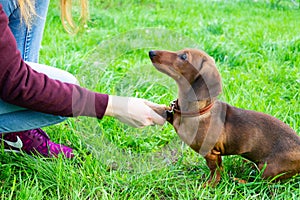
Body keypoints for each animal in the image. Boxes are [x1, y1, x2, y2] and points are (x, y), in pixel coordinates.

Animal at [148, 48, 300, 186]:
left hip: (269, 169)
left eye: (184, 56)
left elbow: (215, 171)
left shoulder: (211, 153)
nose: (151, 52)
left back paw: (240, 180)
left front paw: (208, 186)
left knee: (261, 182)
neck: (198, 111)